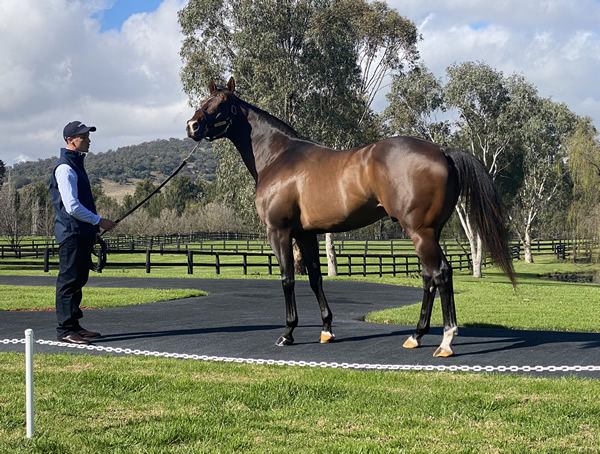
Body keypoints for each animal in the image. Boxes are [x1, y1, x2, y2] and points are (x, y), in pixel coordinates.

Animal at [188, 78, 516, 358]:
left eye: (222, 104)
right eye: (205, 99)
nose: (193, 126)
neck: (278, 157)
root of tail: (443, 151)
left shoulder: (279, 232)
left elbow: (287, 279)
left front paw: (288, 333)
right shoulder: (306, 233)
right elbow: (315, 278)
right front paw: (326, 330)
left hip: (420, 231)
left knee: (441, 274)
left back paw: (445, 342)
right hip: (429, 233)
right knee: (429, 277)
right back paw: (416, 336)